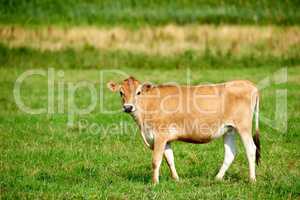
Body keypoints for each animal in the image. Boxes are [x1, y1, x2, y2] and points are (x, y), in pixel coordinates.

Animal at [107, 76, 260, 184]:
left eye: (138, 92)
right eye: (121, 92)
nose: (128, 107)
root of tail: (249, 84)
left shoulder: (160, 135)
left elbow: (156, 160)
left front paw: (154, 182)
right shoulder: (166, 139)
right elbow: (170, 159)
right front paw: (176, 179)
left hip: (244, 126)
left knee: (251, 149)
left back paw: (252, 179)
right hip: (229, 129)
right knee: (230, 152)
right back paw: (217, 178)